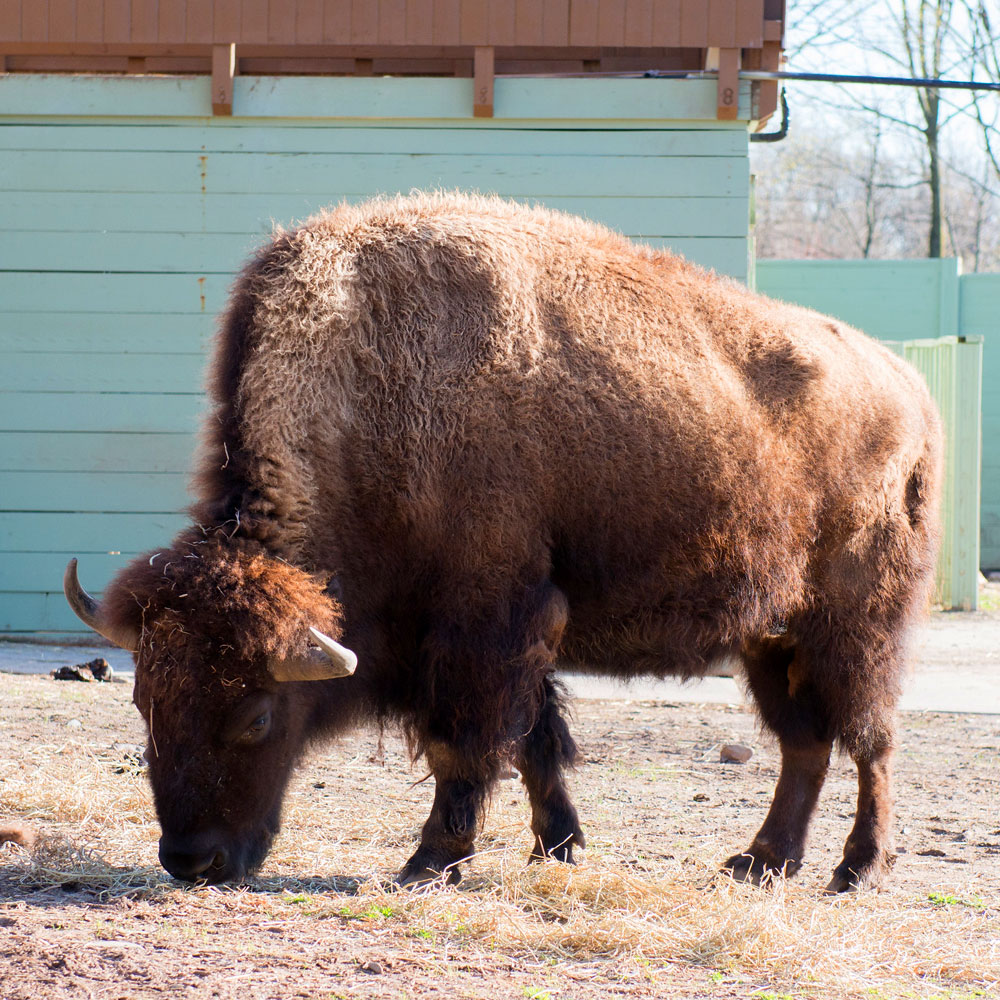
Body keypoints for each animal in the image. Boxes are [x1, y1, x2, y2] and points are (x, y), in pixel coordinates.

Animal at [66, 193, 940, 892]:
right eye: (145, 701)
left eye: (255, 716)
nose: (192, 860)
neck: (370, 397)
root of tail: (910, 390)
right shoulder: (505, 637)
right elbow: (534, 743)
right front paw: (558, 848)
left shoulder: (485, 622)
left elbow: (469, 744)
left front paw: (429, 862)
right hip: (770, 635)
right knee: (806, 744)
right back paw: (761, 862)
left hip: (856, 626)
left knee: (871, 741)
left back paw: (856, 870)